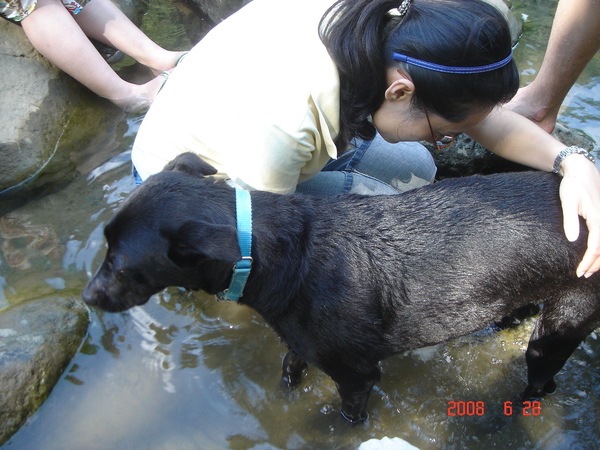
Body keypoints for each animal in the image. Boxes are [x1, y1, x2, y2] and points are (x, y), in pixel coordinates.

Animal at [84, 153, 600, 424]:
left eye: (121, 264)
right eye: (104, 244)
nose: (88, 297)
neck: (287, 257)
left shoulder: (357, 377)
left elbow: (346, 419)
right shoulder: (298, 344)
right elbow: (288, 373)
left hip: (559, 329)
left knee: (541, 384)